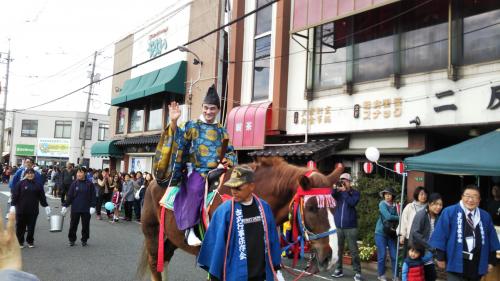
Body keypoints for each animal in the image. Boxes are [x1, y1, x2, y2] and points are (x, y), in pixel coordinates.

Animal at [139, 156, 346, 278]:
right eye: (311, 207)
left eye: (334, 206)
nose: (332, 256)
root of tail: (153, 183)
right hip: (152, 233)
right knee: (155, 264)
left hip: (170, 238)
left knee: (163, 262)